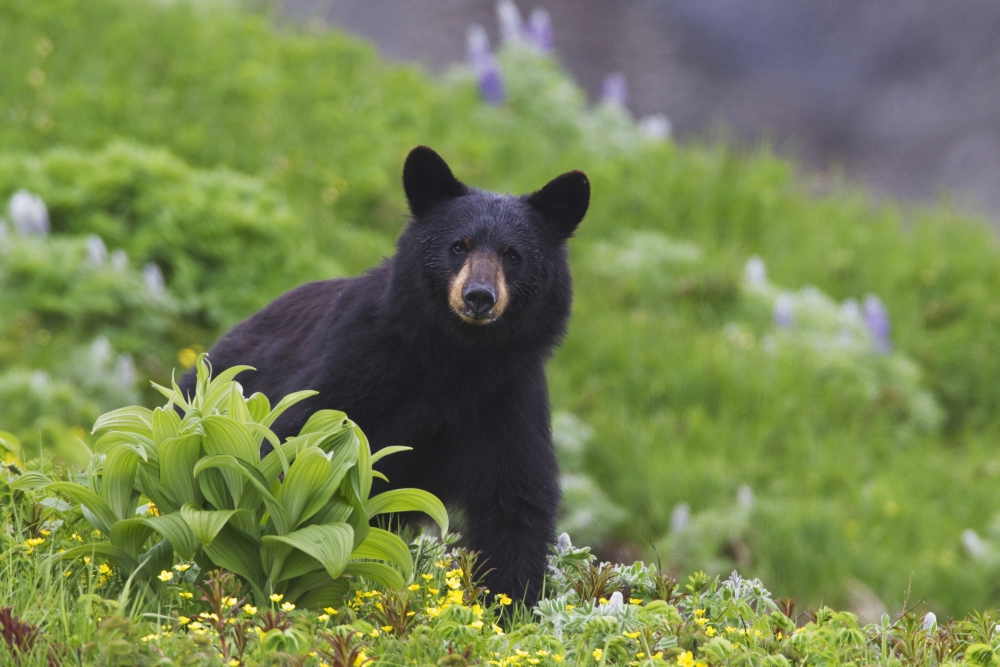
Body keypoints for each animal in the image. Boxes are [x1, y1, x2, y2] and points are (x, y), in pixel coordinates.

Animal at [180, 146, 590, 602]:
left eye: (513, 254)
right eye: (458, 246)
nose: (479, 296)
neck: (457, 359)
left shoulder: (507, 395)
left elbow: (515, 498)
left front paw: (509, 602)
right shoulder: (359, 364)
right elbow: (295, 442)